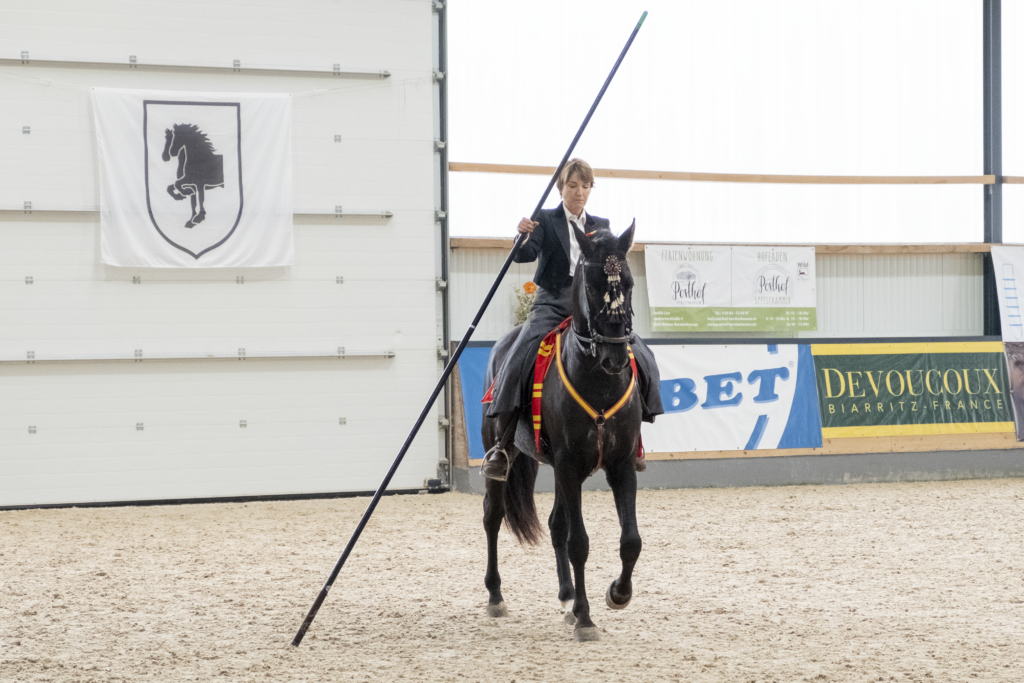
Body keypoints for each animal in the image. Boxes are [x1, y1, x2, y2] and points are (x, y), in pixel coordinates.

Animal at [479, 223, 638, 643]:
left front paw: (617, 594)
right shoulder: (568, 466)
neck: (598, 382)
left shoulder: (620, 466)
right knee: (493, 516)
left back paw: (566, 597)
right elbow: (578, 542)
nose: (615, 357)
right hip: (505, 455)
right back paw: (496, 596)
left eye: (629, 284)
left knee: (555, 524)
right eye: (592, 286)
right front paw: (585, 619)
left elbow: (630, 541)